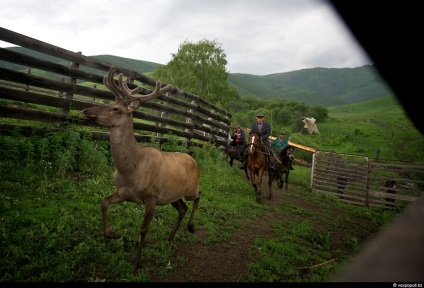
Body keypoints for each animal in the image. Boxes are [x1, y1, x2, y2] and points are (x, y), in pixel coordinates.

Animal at [83, 67, 203, 268]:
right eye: (110, 102)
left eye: (116, 109)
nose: (86, 110)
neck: (131, 170)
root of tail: (193, 159)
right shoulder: (123, 192)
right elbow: (104, 201)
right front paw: (112, 233)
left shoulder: (151, 196)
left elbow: (144, 229)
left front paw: (136, 261)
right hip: (172, 195)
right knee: (182, 209)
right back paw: (170, 238)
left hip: (190, 188)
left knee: (198, 196)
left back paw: (191, 226)